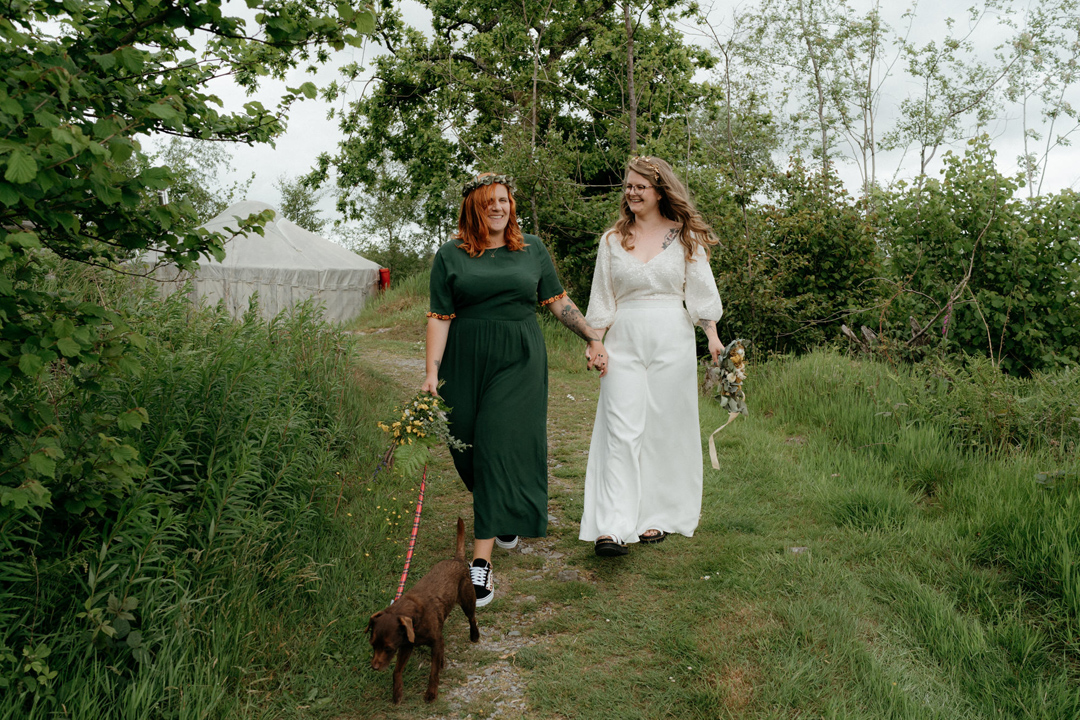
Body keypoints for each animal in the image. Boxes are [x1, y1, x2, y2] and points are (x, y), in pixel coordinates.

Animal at [365, 518, 479, 703]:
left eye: (388, 649)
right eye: (373, 645)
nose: (374, 667)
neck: (415, 619)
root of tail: (457, 559)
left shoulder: (433, 642)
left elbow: (433, 672)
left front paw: (431, 693)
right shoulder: (406, 646)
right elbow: (397, 671)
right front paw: (397, 693)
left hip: (468, 601)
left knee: (472, 619)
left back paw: (474, 636)